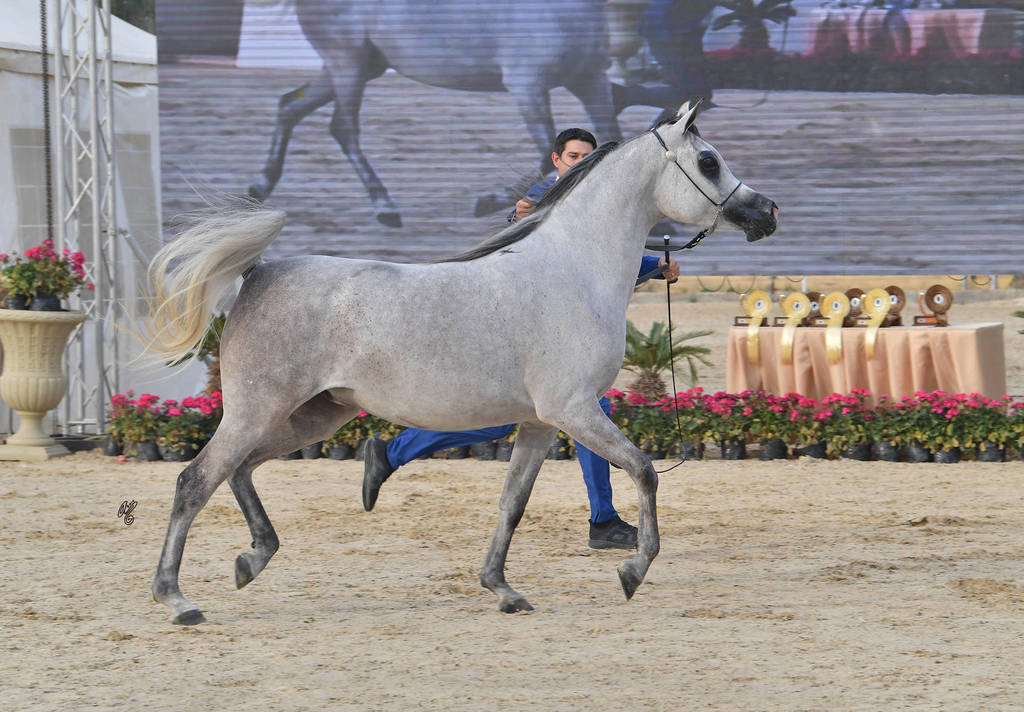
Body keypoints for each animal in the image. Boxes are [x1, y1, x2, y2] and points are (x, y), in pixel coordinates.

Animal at [150, 101, 779, 625]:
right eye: (709, 161)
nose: (768, 212)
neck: (573, 269)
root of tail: (260, 273)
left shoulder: (540, 423)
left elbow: (513, 503)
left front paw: (503, 589)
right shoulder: (575, 411)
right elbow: (643, 471)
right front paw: (631, 571)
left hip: (315, 416)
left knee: (240, 471)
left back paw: (252, 560)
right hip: (256, 411)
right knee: (195, 481)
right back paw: (178, 600)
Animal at [248, 0, 624, 227]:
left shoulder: (590, 80)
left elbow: (613, 139)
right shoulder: (527, 83)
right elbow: (547, 148)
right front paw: (488, 201)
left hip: (363, 65)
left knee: (289, 105)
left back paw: (260, 186)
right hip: (348, 63)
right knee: (342, 127)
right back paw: (385, 207)